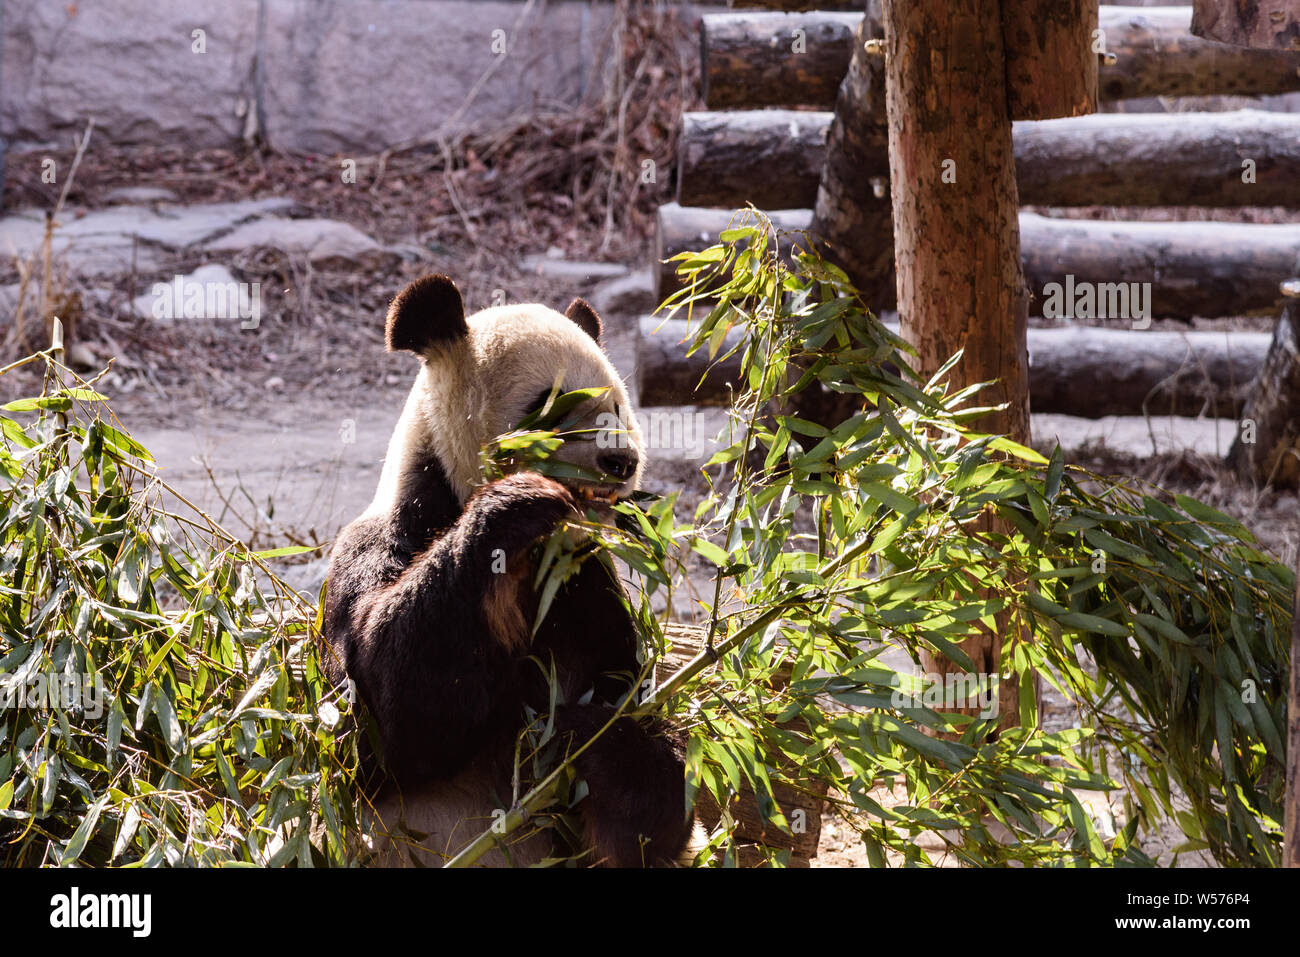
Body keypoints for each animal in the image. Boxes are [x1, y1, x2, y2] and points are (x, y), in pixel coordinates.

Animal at [322, 274, 694, 867]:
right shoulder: (385, 539)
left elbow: (651, 804)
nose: (621, 462)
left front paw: (583, 736)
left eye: (617, 407)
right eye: (553, 405)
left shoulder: (587, 589)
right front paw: (516, 503)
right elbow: (382, 725)